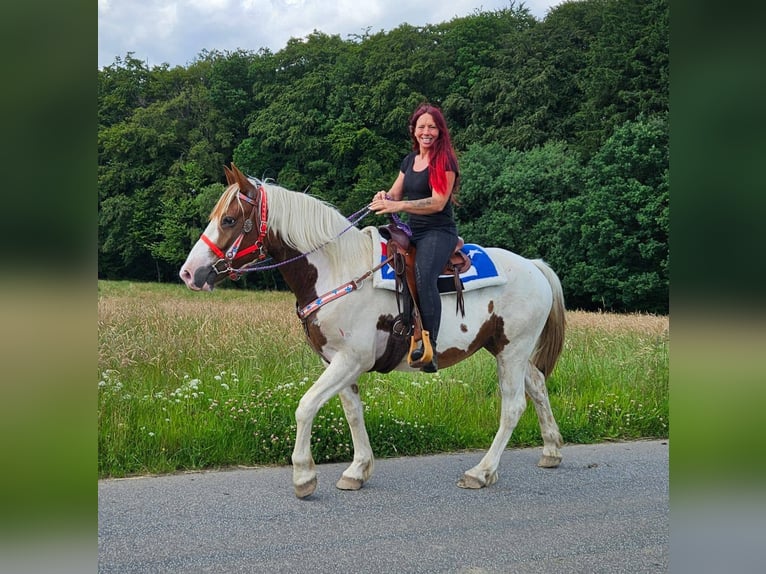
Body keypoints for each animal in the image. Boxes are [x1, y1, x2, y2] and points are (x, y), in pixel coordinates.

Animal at [180, 164, 566, 499]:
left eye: (229, 220)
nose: (188, 273)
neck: (337, 271)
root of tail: (534, 266)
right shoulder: (335, 360)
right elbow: (353, 412)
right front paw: (357, 470)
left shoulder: (352, 358)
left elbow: (306, 406)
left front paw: (303, 476)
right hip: (506, 349)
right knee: (537, 385)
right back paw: (551, 450)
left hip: (511, 350)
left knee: (513, 405)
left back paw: (482, 472)